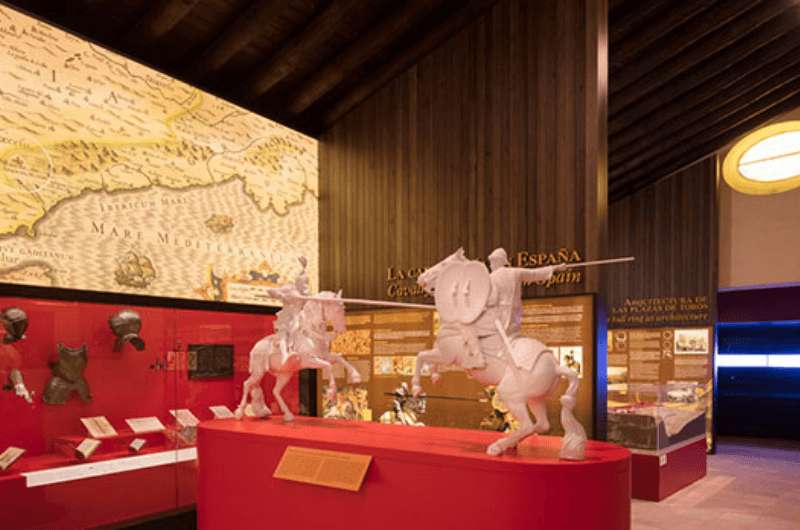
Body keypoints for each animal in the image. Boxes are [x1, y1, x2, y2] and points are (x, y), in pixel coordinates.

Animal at [234, 288, 362, 420]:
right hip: (258, 371)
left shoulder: (324, 356)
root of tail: (256, 346)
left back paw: (288, 415)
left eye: (343, 308)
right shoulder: (309, 360)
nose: (342, 329)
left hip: (285, 374)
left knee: (275, 391)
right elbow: (328, 366)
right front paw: (332, 393)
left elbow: (339, 359)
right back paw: (239, 413)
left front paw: (355, 376)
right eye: (336, 309)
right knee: (247, 384)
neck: (311, 335)